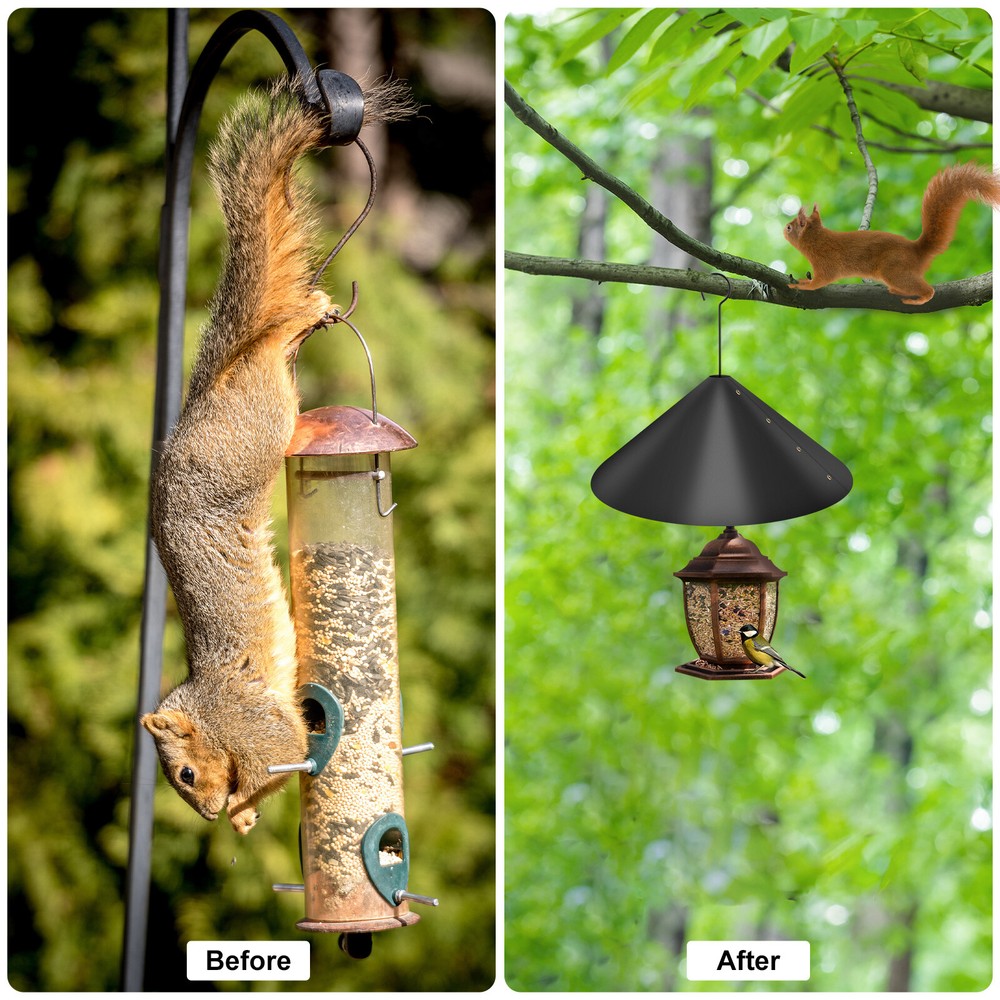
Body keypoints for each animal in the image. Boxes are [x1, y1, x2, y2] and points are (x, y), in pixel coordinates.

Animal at [141, 78, 414, 834]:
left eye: (183, 773)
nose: (206, 814)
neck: (209, 711)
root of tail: (205, 392)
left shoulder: (257, 727)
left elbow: (286, 752)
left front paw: (240, 807)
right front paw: (241, 818)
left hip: (254, 431)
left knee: (275, 342)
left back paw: (300, 316)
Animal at [782, 163, 1000, 305]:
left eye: (790, 227)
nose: (783, 230)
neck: (817, 239)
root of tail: (916, 250)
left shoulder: (826, 262)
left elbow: (820, 281)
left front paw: (802, 285)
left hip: (894, 270)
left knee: (928, 290)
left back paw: (919, 298)